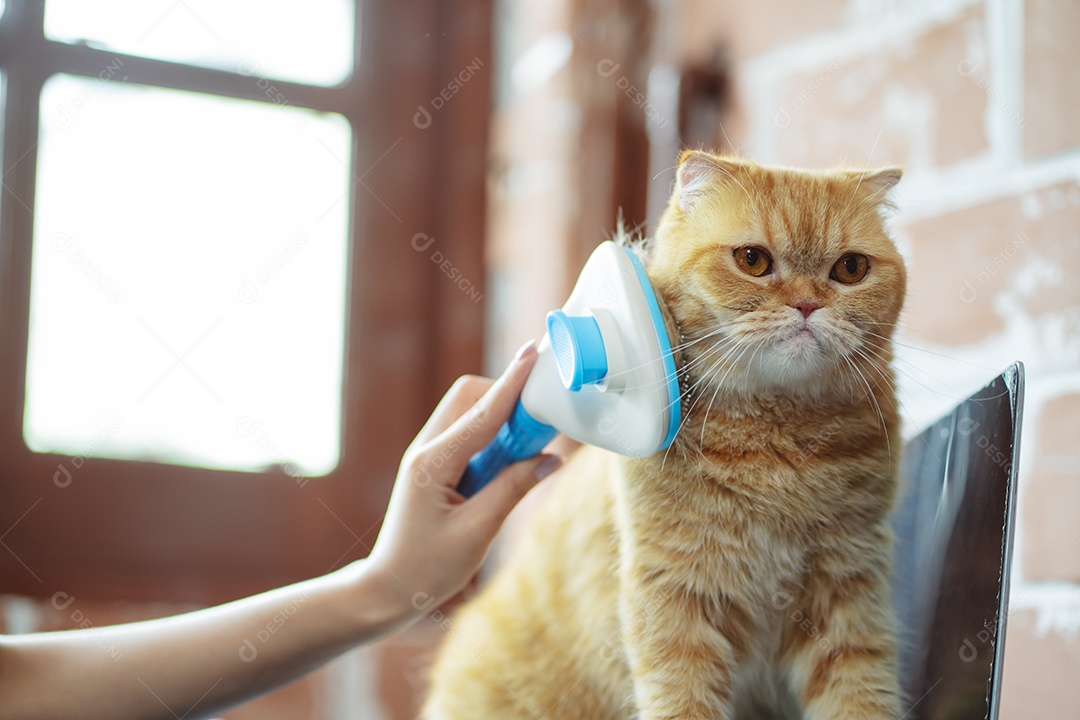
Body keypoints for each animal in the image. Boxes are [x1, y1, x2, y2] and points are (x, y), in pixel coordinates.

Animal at [425, 152, 907, 720]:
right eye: (753, 260)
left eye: (850, 269)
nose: (808, 306)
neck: (776, 449)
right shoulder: (675, 603)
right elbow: (682, 701)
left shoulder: (850, 596)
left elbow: (861, 696)